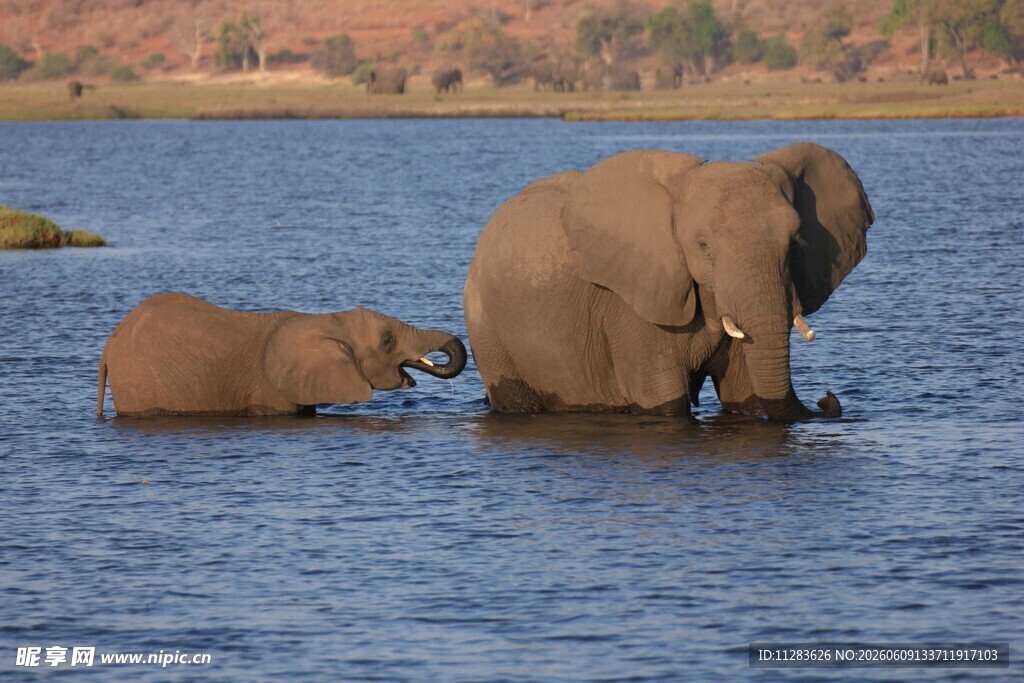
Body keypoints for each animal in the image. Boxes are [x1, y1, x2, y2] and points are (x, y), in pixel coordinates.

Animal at [463, 143, 873, 421]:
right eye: (703, 245)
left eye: (795, 242)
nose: (826, 398)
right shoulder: (630, 301)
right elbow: (665, 399)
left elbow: (745, 394)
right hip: (487, 327)